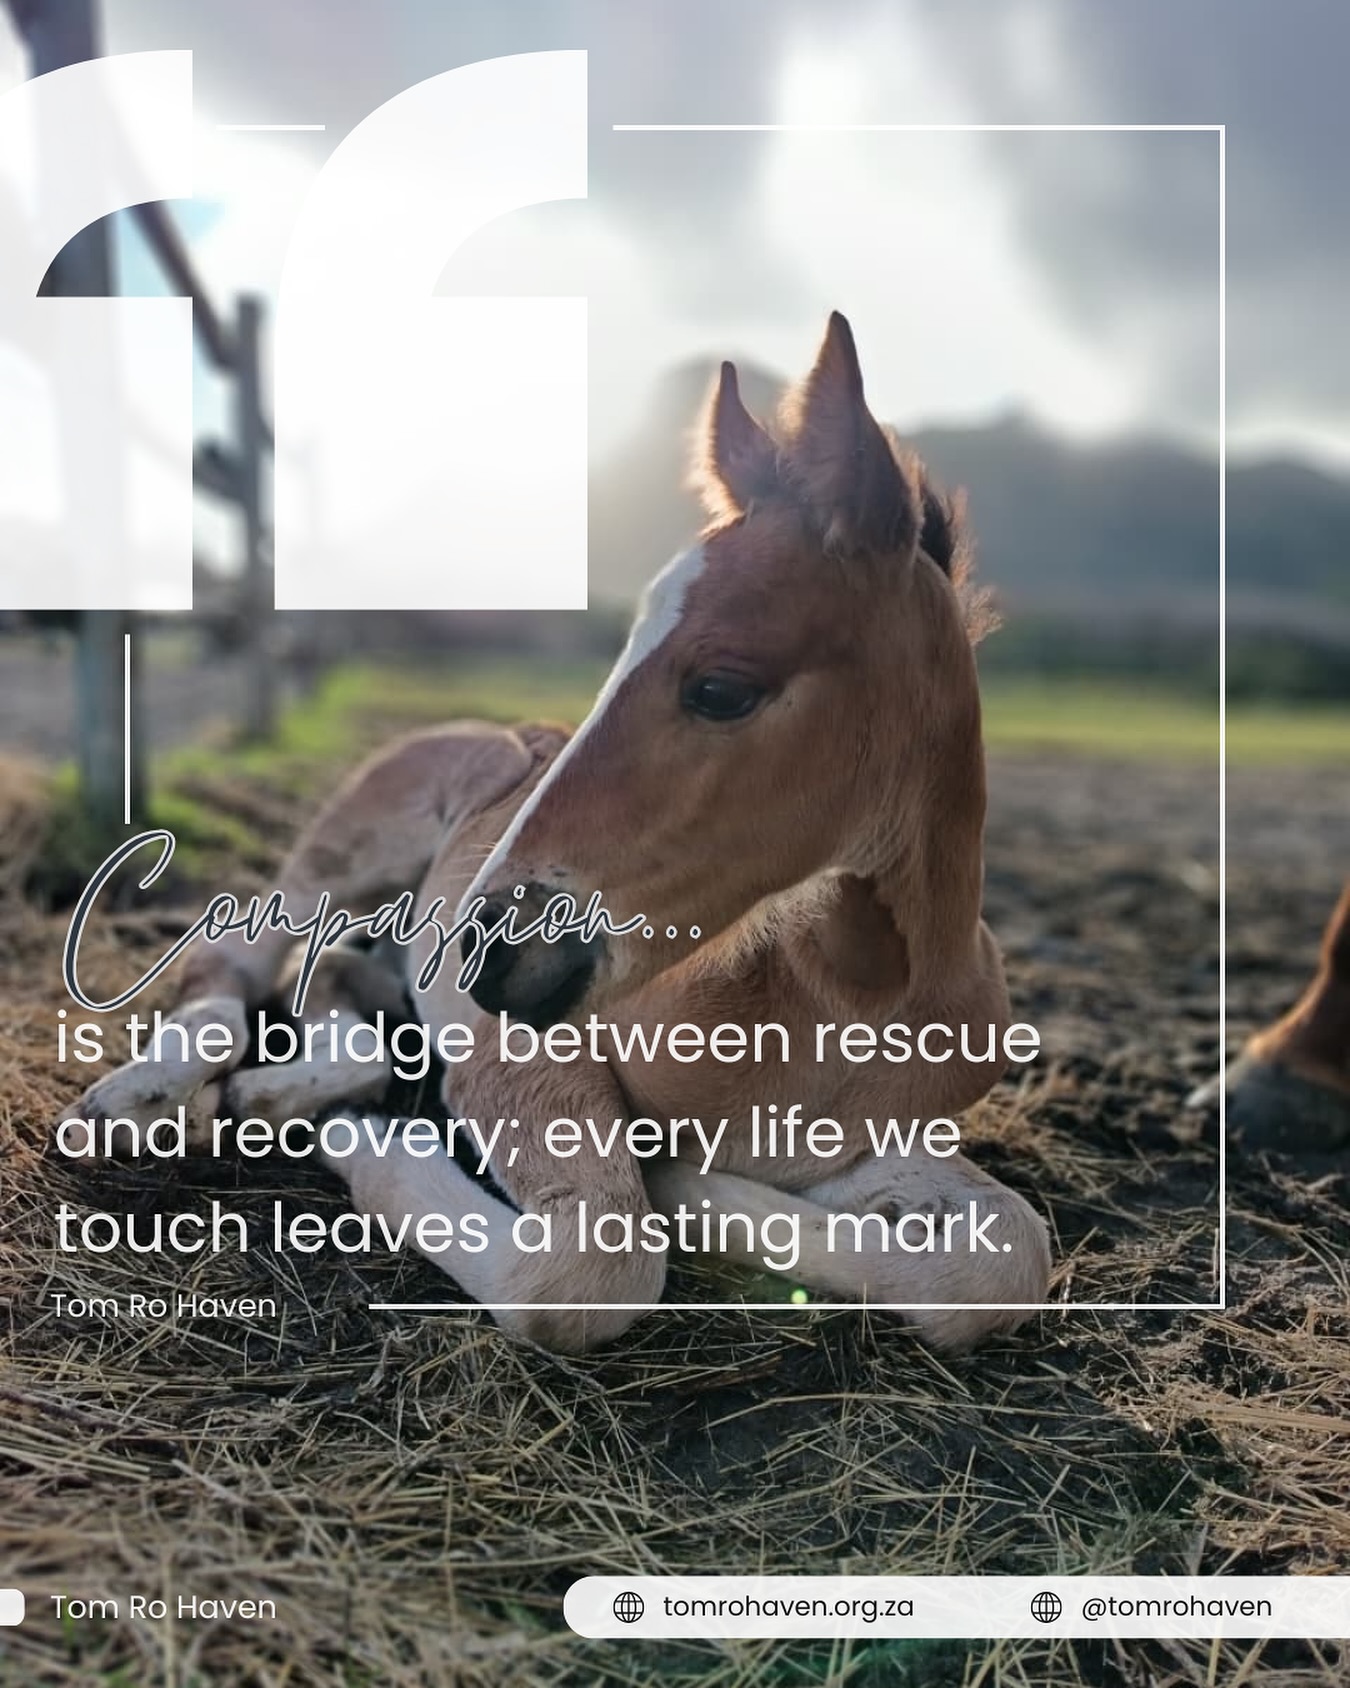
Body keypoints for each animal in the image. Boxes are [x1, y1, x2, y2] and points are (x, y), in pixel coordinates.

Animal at [64, 312, 1053, 1355]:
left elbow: (1004, 1256)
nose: (483, 952)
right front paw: (359, 1133)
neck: (842, 998)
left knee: (338, 982)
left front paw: (696, 1185)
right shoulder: (524, 1052)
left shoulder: (854, 1143)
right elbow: (591, 1267)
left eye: (720, 687)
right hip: (354, 844)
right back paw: (148, 1099)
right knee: (238, 961)